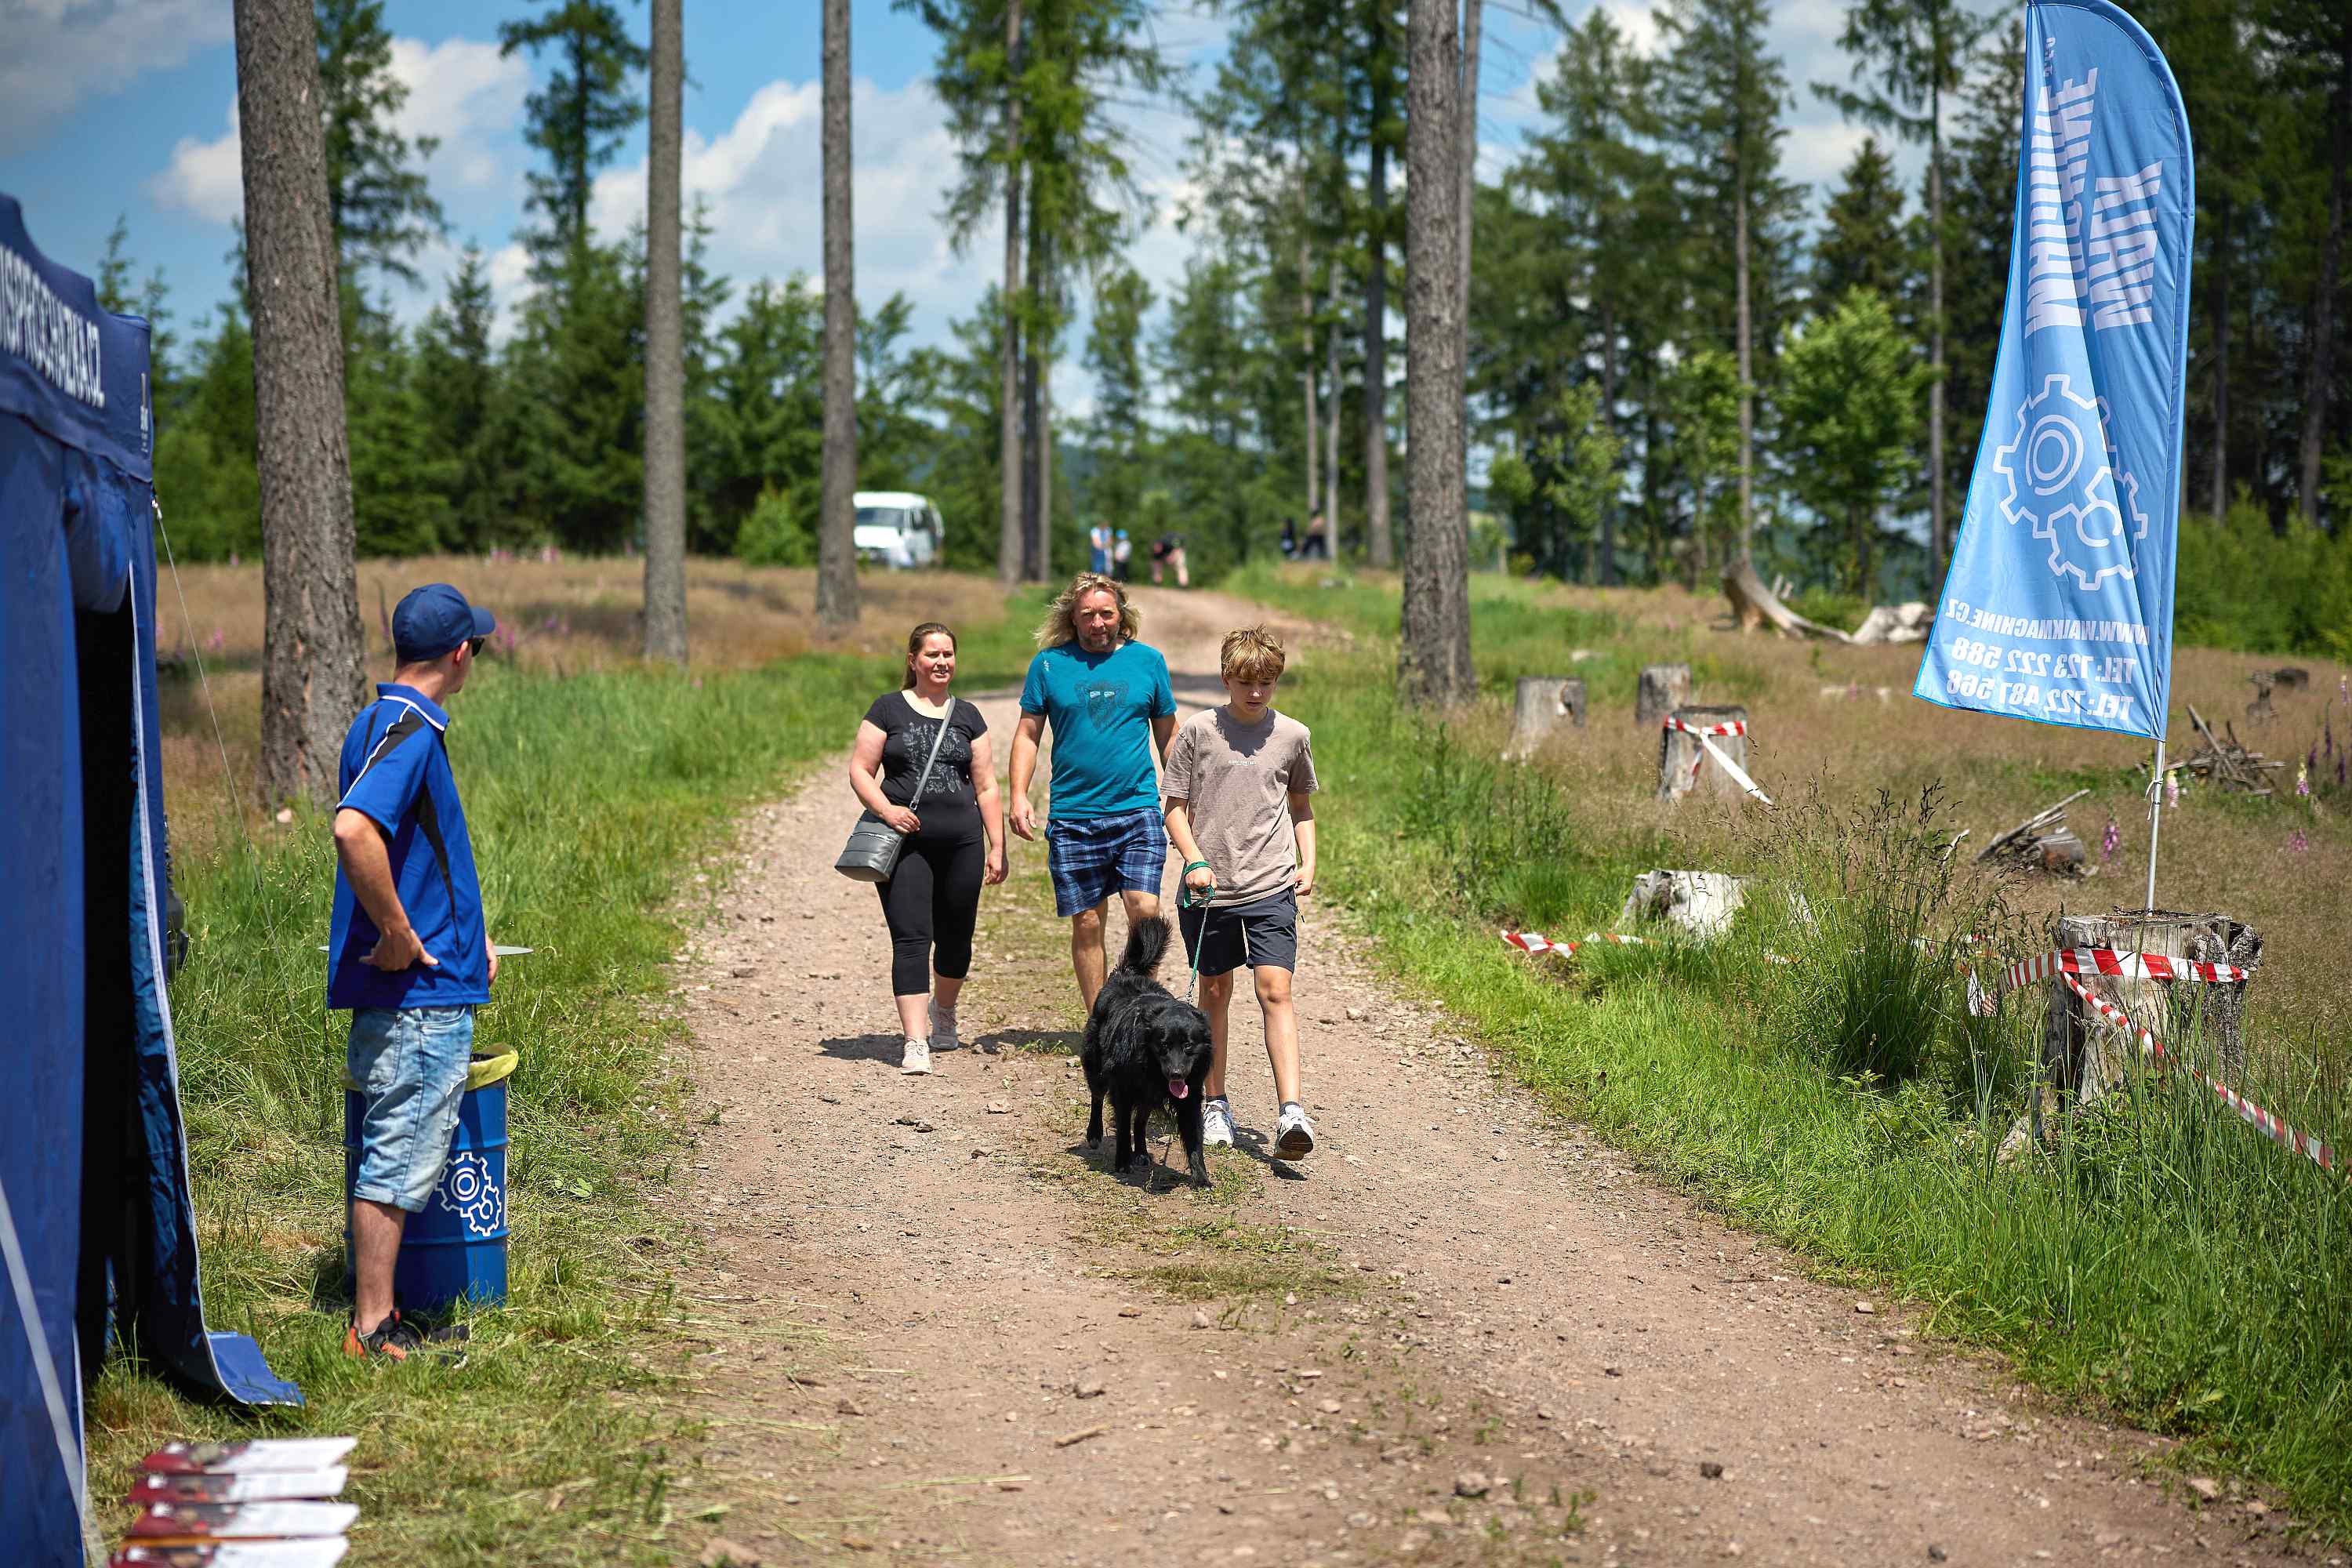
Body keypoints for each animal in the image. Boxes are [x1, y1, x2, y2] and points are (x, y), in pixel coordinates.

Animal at [1082, 916, 1214, 1187]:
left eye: (1188, 1046)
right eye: (1163, 1046)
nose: (1176, 1074)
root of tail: (1125, 974)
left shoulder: (1190, 1095)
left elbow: (1194, 1139)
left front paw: (1202, 1177)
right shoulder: (1123, 1088)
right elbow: (1123, 1125)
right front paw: (1123, 1161)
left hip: (1146, 1094)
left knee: (1141, 1119)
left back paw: (1142, 1152)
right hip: (1097, 1066)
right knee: (1098, 1097)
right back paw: (1095, 1134)